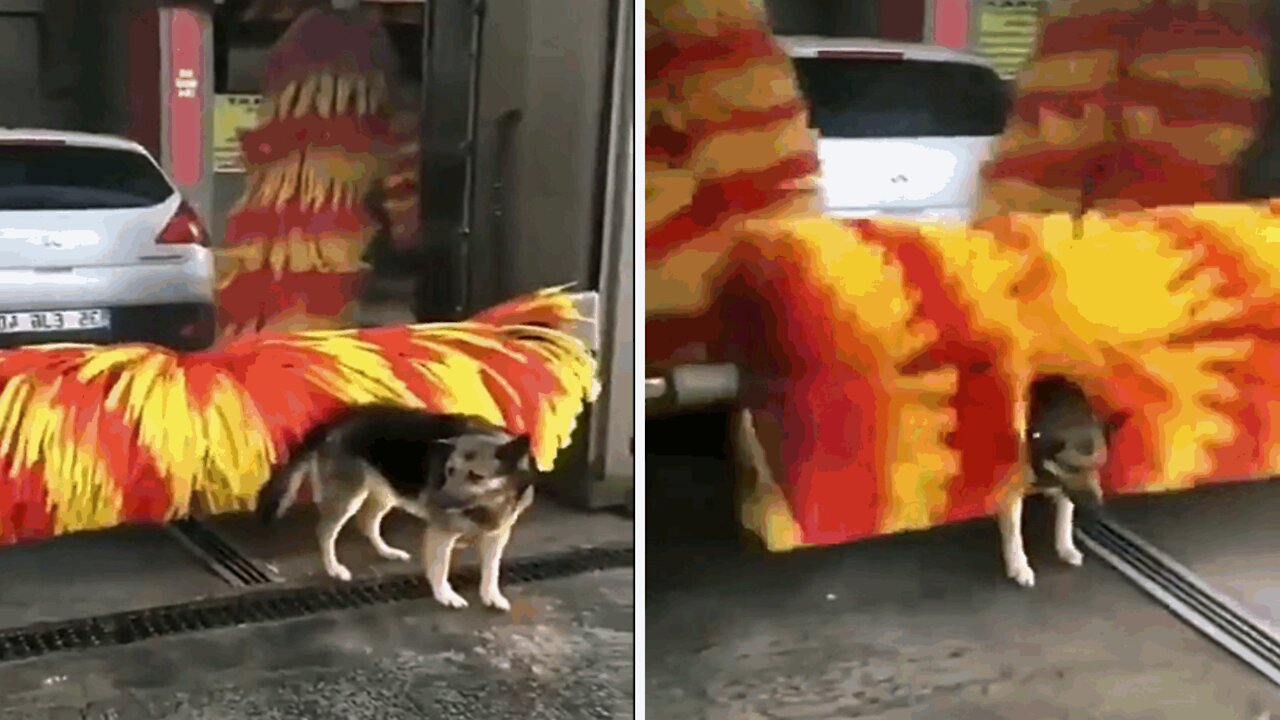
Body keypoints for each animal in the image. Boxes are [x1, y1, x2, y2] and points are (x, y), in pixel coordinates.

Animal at [257, 399, 537, 607]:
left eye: (476, 476)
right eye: (449, 471)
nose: (437, 501)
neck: (490, 501)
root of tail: (333, 421)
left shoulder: (496, 535)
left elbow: (492, 569)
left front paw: (491, 595)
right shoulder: (441, 533)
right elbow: (440, 567)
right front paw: (444, 595)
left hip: (386, 492)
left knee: (367, 522)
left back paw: (386, 551)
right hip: (348, 497)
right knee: (325, 532)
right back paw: (334, 568)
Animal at [993, 371, 1105, 586]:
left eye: (1098, 466)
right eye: (1071, 467)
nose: (1096, 507)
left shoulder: (1065, 491)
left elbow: (1064, 520)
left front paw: (1066, 548)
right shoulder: (1012, 492)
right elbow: (1014, 535)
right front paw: (1019, 566)